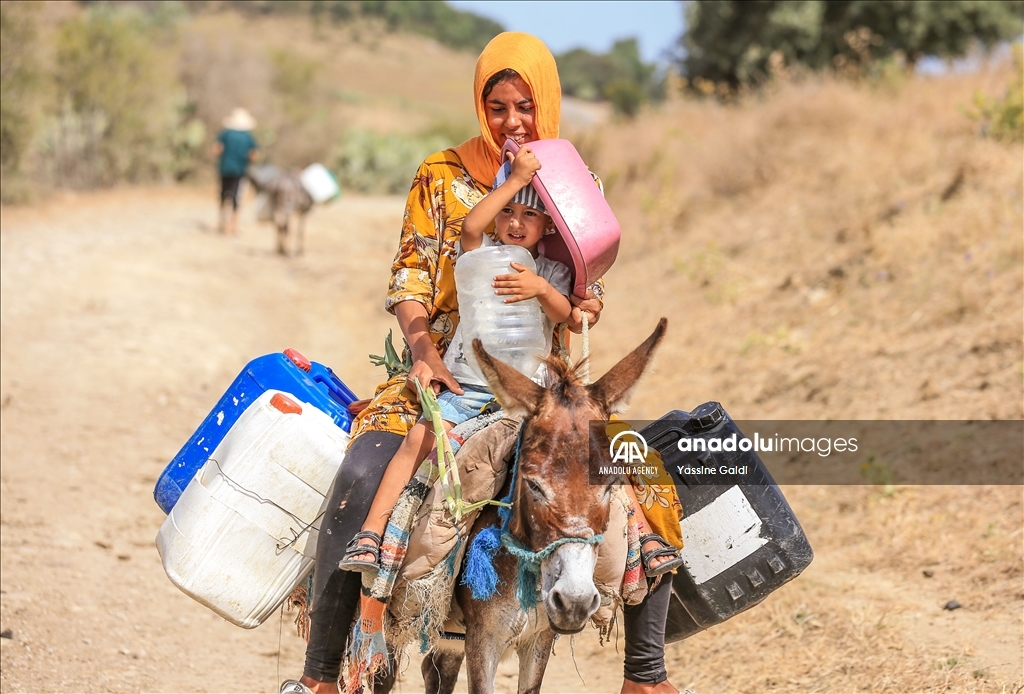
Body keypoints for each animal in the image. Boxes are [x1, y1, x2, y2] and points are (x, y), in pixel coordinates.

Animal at [379, 318, 667, 694]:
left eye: (609, 484)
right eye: (533, 485)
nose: (574, 601)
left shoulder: (539, 638)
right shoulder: (483, 639)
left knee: (436, 669)